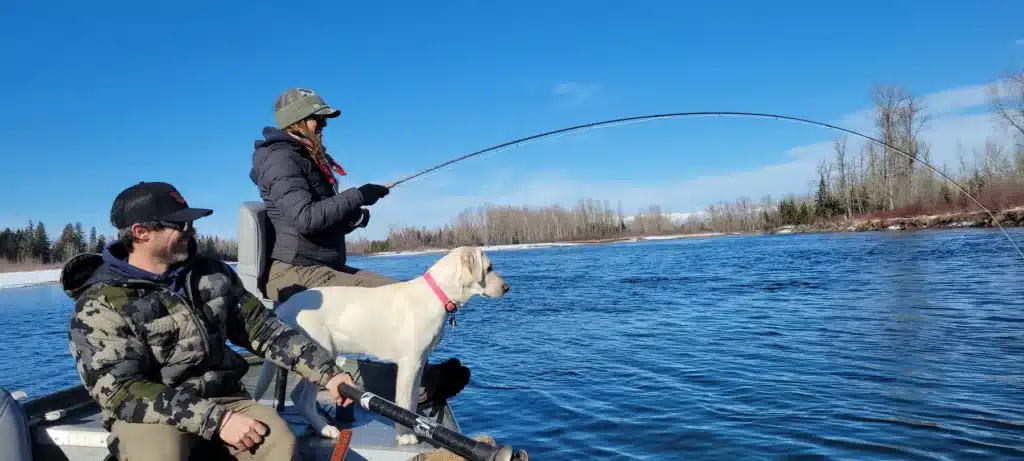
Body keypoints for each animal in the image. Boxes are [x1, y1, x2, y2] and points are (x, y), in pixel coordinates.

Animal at [251, 246, 507, 444]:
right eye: (489, 268)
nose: (507, 288)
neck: (436, 295)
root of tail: (285, 307)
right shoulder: (409, 363)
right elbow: (403, 402)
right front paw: (404, 437)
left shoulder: (418, 364)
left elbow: (411, 404)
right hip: (323, 351)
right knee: (301, 396)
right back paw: (325, 428)